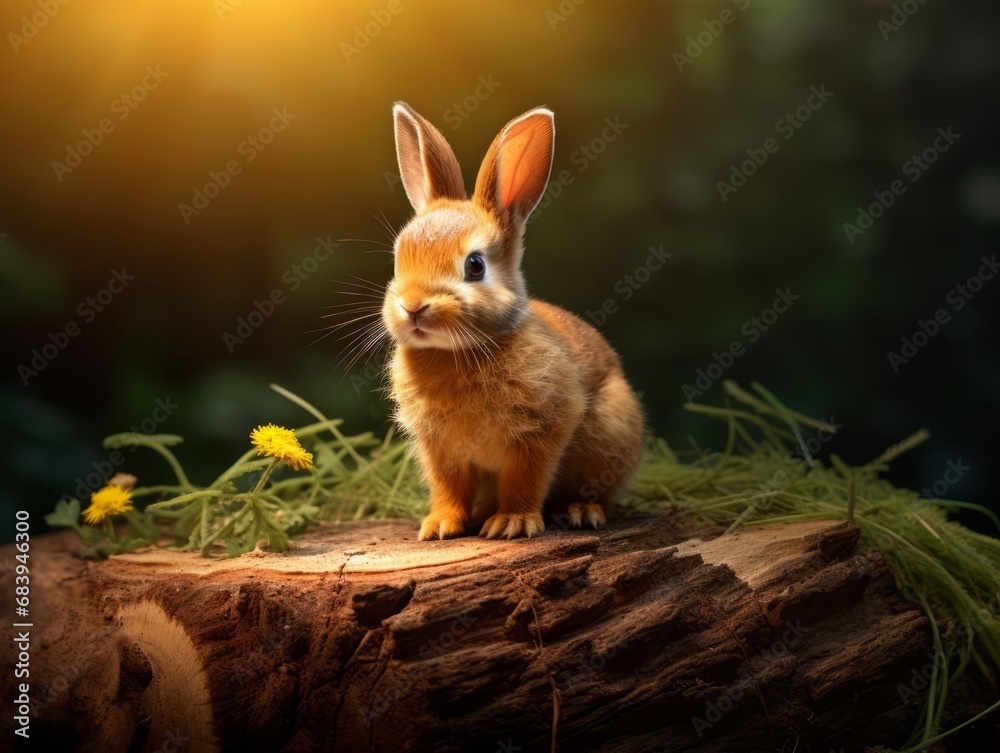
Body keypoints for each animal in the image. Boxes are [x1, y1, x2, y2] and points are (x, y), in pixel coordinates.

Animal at [381, 101, 644, 540]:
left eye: (475, 265)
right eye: (398, 259)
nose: (414, 306)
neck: (458, 351)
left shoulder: (542, 430)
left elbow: (525, 478)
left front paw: (512, 523)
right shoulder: (441, 448)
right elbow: (448, 485)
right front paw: (440, 525)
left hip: (610, 430)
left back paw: (581, 512)